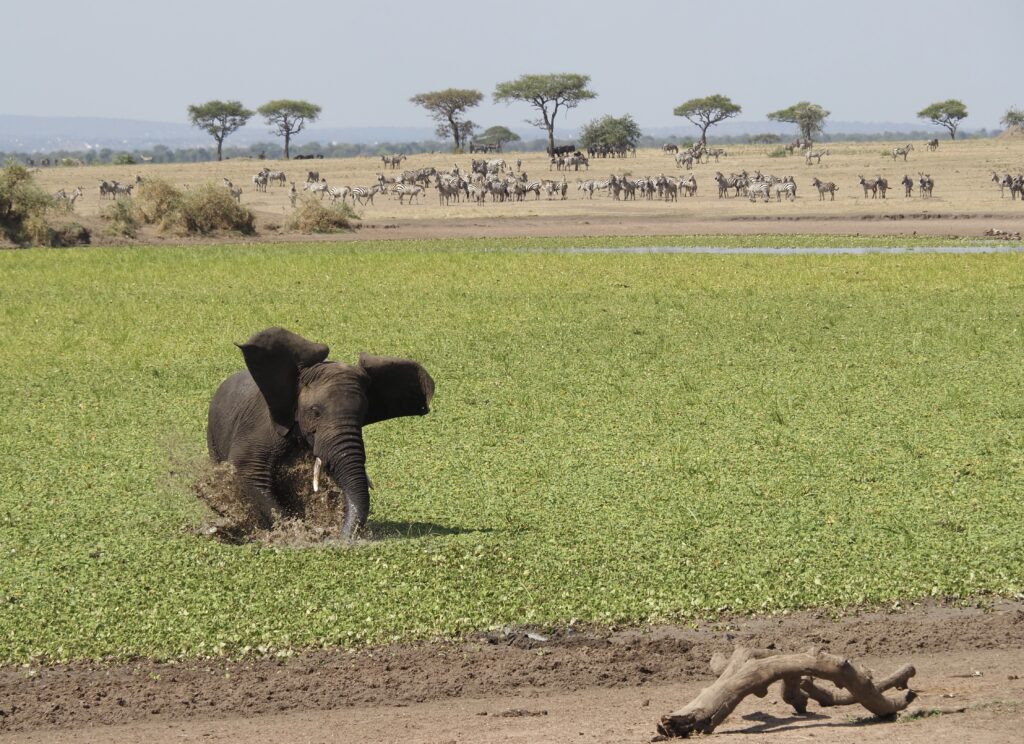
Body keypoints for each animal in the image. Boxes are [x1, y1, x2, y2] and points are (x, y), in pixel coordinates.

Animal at [205, 329, 434, 540]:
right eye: (315, 412)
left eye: (363, 415)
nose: (341, 538)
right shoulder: (262, 427)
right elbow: (248, 471)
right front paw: (298, 531)